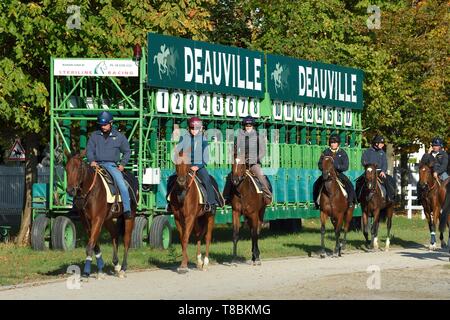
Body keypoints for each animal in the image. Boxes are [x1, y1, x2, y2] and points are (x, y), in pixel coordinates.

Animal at [64, 150, 136, 278]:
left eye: (79, 168)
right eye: (66, 168)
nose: (70, 190)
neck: (90, 192)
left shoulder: (97, 219)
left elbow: (89, 246)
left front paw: (86, 272)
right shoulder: (86, 222)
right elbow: (94, 245)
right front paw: (100, 269)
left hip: (130, 216)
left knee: (127, 241)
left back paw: (123, 268)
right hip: (108, 219)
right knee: (114, 235)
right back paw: (116, 265)